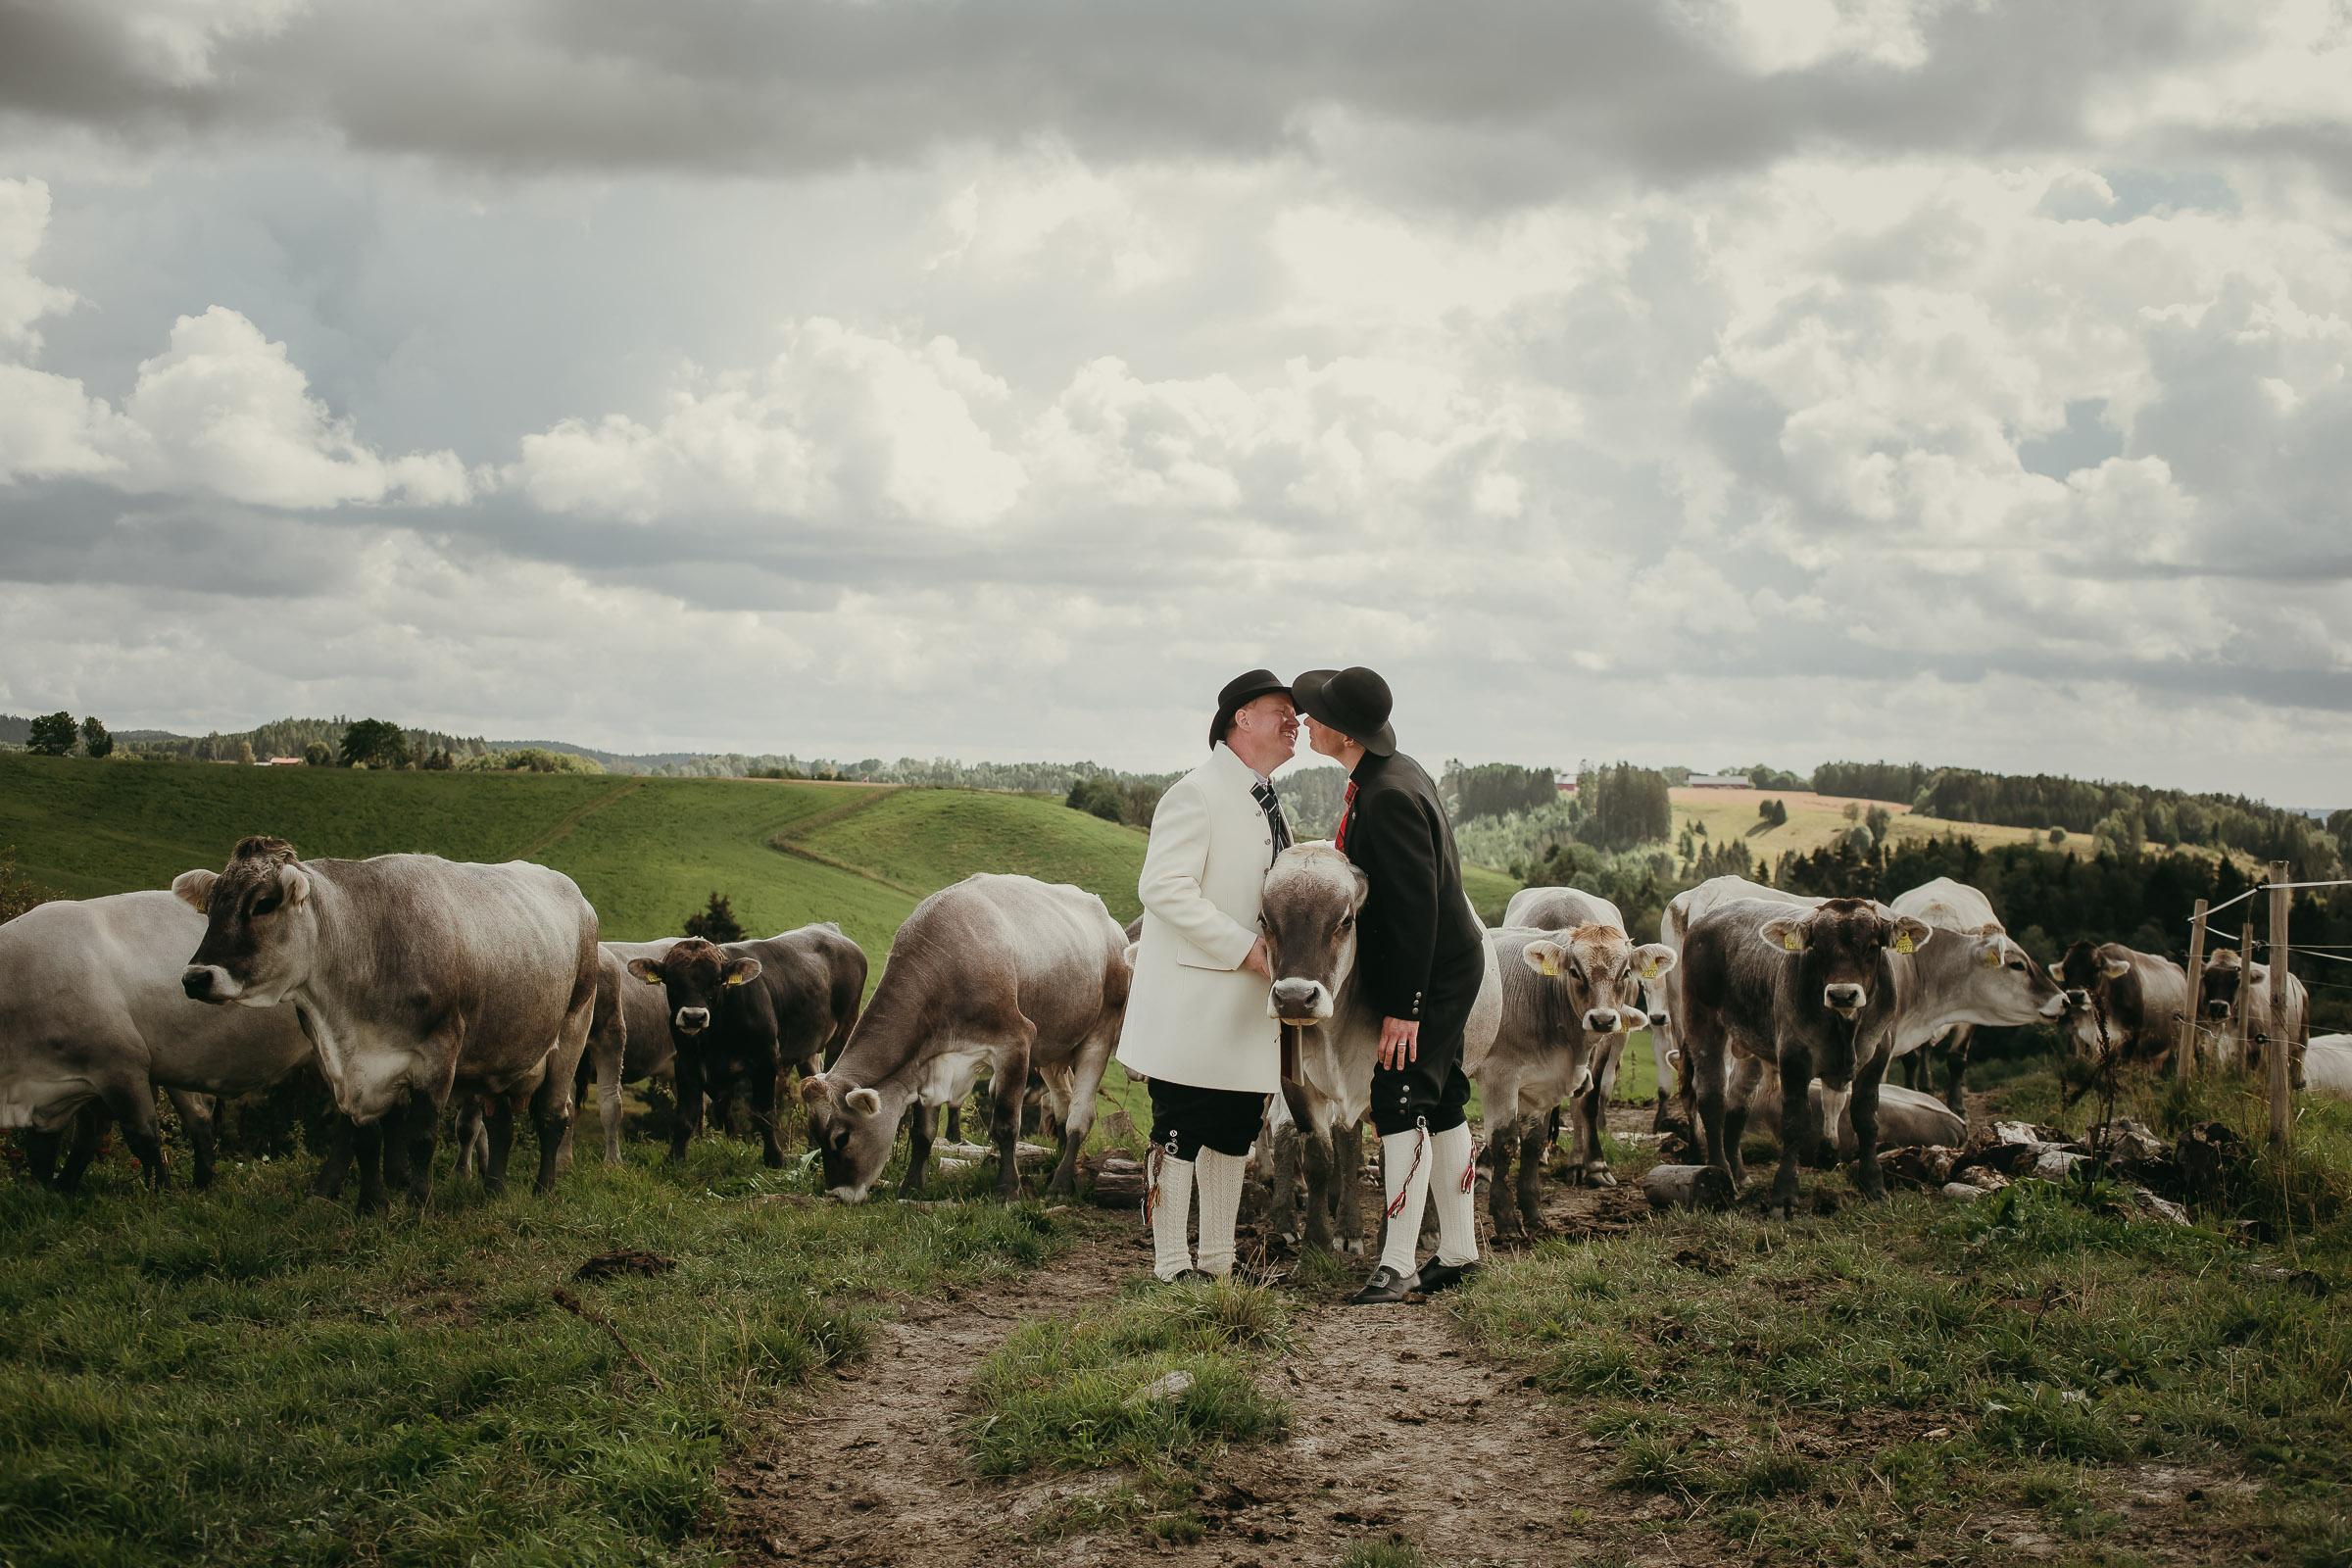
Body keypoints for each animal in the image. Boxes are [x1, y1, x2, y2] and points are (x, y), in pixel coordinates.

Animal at [2, 893, 315, 1189]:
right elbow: (56, 1146)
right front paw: (54, 1187)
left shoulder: (121, 1066)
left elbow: (142, 1137)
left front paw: (159, 1189)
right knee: (199, 1116)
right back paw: (202, 1182)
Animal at [174, 841, 597, 1212]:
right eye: (212, 906)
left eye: (263, 904)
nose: (196, 977)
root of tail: (580, 900)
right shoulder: (343, 1067)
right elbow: (364, 1138)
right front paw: (370, 1205)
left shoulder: (438, 1053)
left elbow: (421, 1137)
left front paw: (418, 1204)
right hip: (499, 1057)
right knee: (501, 1124)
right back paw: (494, 1190)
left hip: (573, 1030)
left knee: (553, 1116)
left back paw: (544, 1189)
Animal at [630, 926, 870, 1170]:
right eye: (671, 981)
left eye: (717, 980)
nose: (694, 1017)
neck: (714, 1038)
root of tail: (828, 928)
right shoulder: (686, 1062)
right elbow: (686, 1116)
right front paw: (674, 1159)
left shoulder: (766, 1060)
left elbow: (763, 1112)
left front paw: (775, 1158)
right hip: (808, 1050)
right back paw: (814, 1153)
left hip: (843, 1032)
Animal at [800, 869, 1129, 1203]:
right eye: (815, 1135)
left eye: (841, 1138)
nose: (837, 1194)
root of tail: (1112, 926)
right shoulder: (928, 1061)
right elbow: (922, 1132)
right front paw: (911, 1185)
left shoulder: (1016, 1041)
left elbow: (1006, 1124)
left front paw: (1007, 1189)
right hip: (1052, 1049)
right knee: (1063, 1105)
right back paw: (1061, 1165)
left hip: (1100, 1034)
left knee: (1079, 1115)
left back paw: (1060, 1182)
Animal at [2191, 950, 2305, 1086]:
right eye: (2207, 978)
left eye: (2237, 980)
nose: (2218, 1006)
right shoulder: (2201, 1040)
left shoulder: (2255, 1045)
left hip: (2300, 1044)